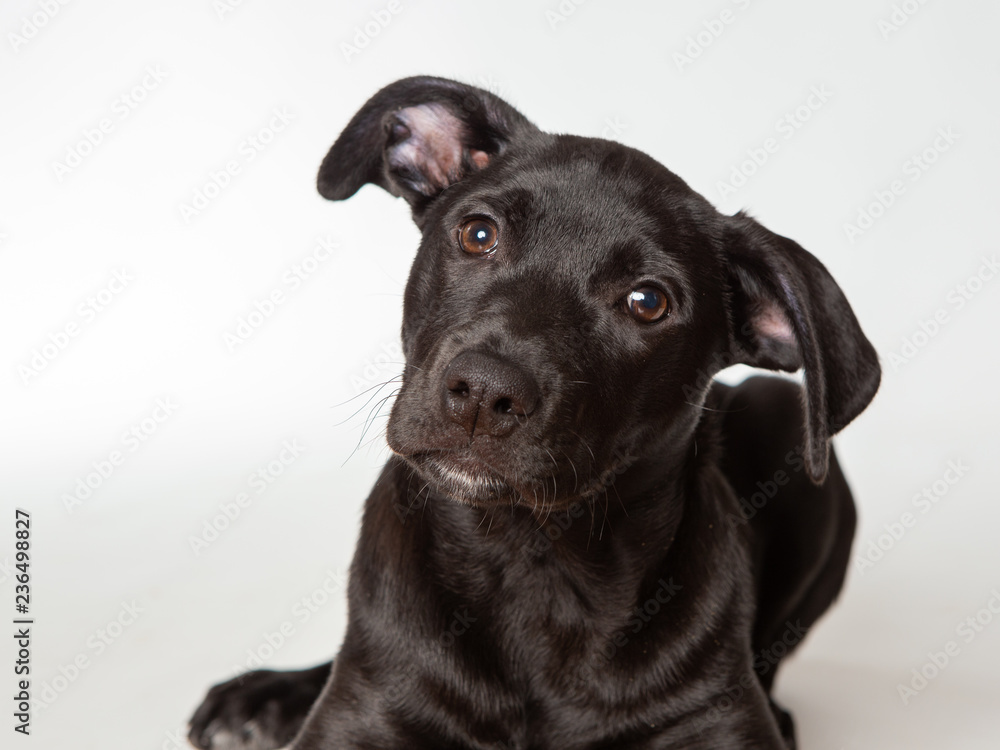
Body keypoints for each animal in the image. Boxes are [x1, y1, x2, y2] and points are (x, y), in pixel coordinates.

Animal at [188, 78, 876, 750]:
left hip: (782, 412)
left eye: (647, 302)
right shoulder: (365, 707)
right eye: (478, 234)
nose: (483, 393)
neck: (532, 562)